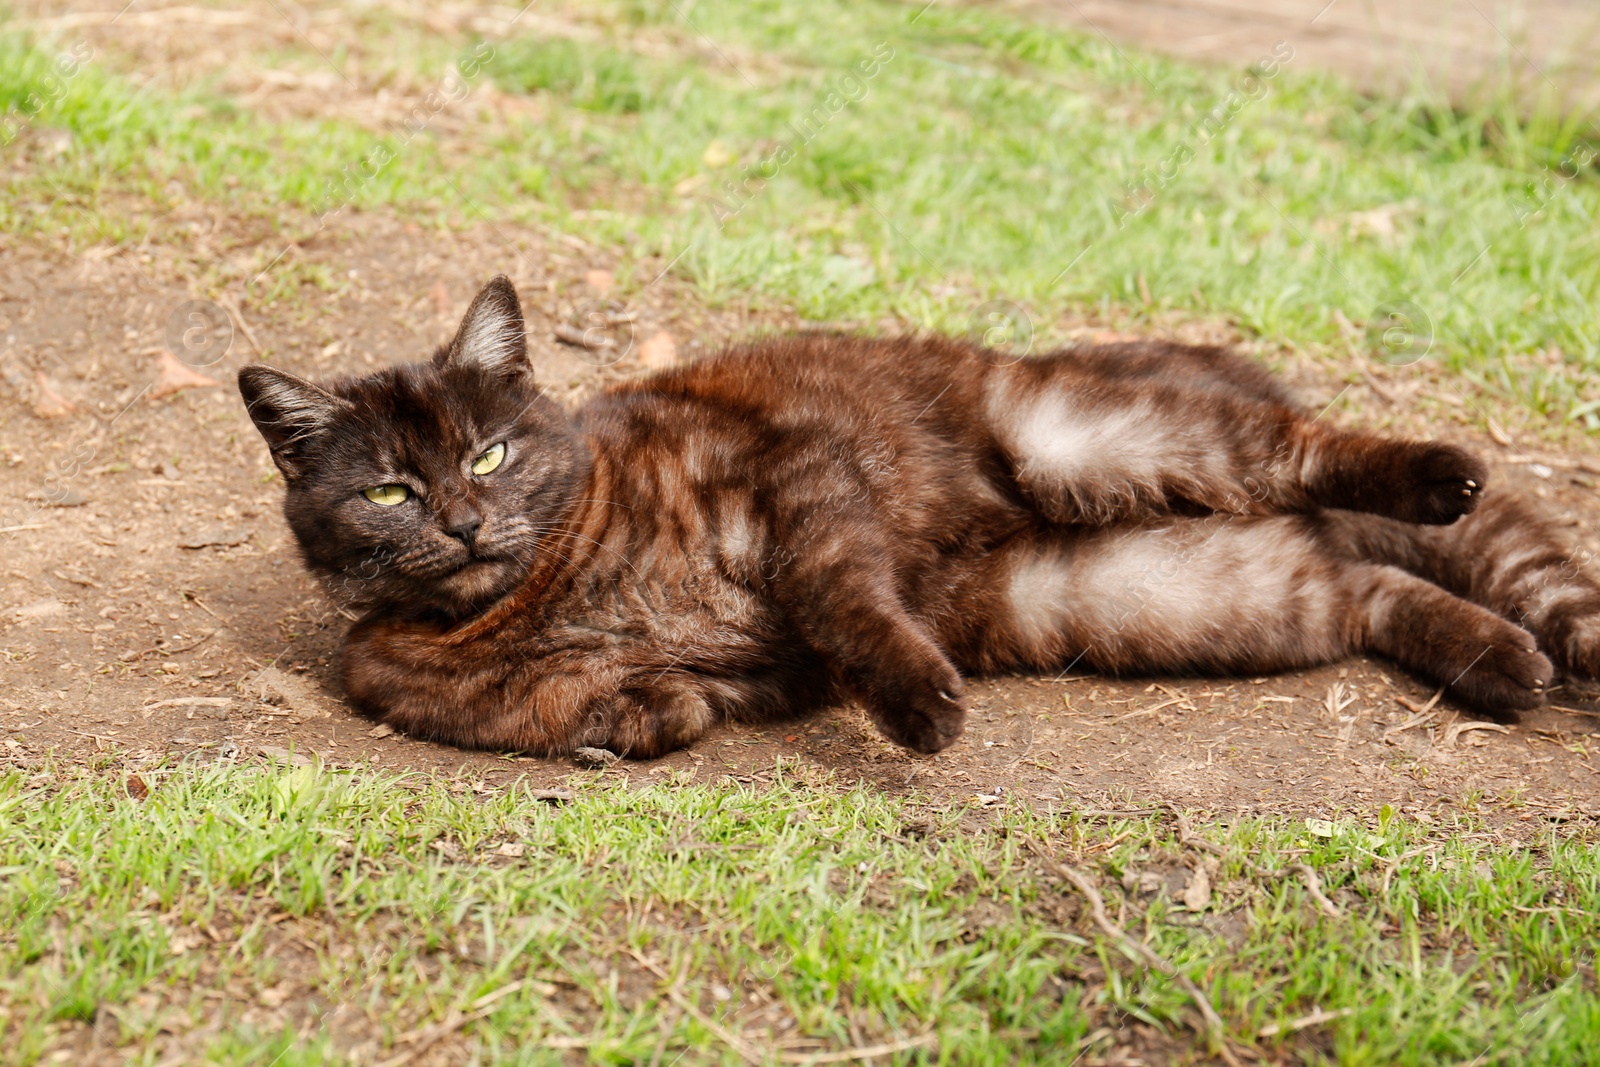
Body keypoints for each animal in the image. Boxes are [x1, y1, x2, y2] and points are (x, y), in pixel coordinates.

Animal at [236, 275, 1600, 758]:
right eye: (389, 490)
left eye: (492, 451)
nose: (464, 521)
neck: (552, 585)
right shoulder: (402, 672)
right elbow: (580, 705)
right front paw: (627, 718)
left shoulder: (793, 484)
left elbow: (841, 597)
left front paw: (918, 706)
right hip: (1163, 588)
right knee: (1368, 586)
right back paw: (1503, 661)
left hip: (1083, 429)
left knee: (1320, 459)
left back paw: (1440, 477)